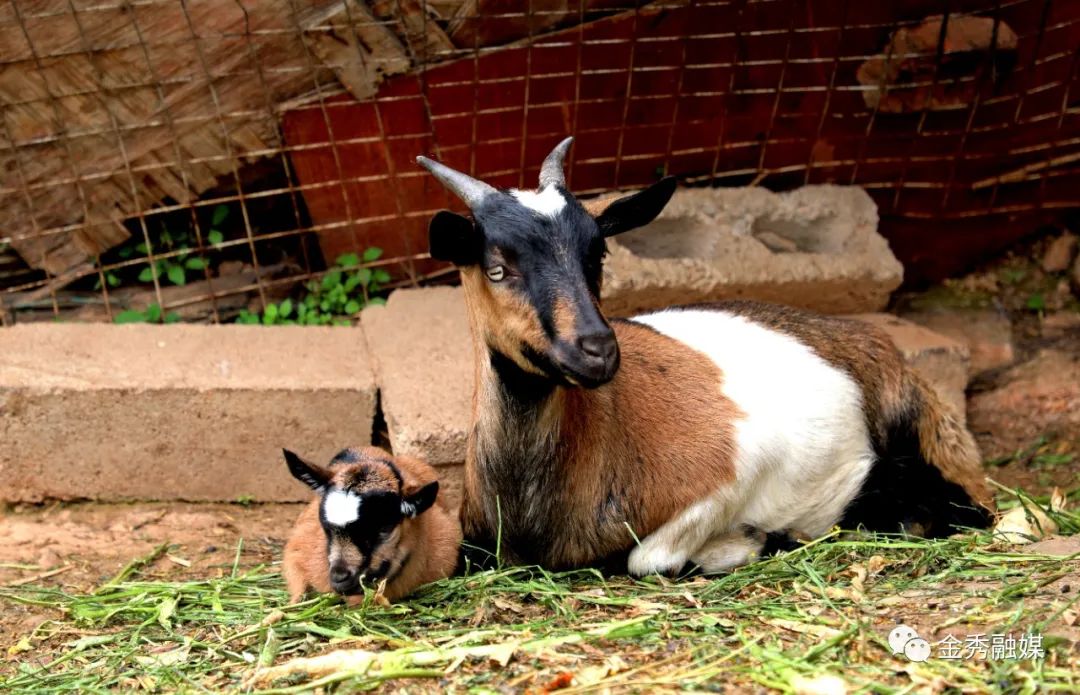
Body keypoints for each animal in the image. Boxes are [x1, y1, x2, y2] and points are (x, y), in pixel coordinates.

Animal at [414, 135, 993, 574]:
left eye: (597, 254)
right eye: (497, 268)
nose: (598, 350)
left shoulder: (737, 469)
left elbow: (647, 559)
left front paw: (753, 541)